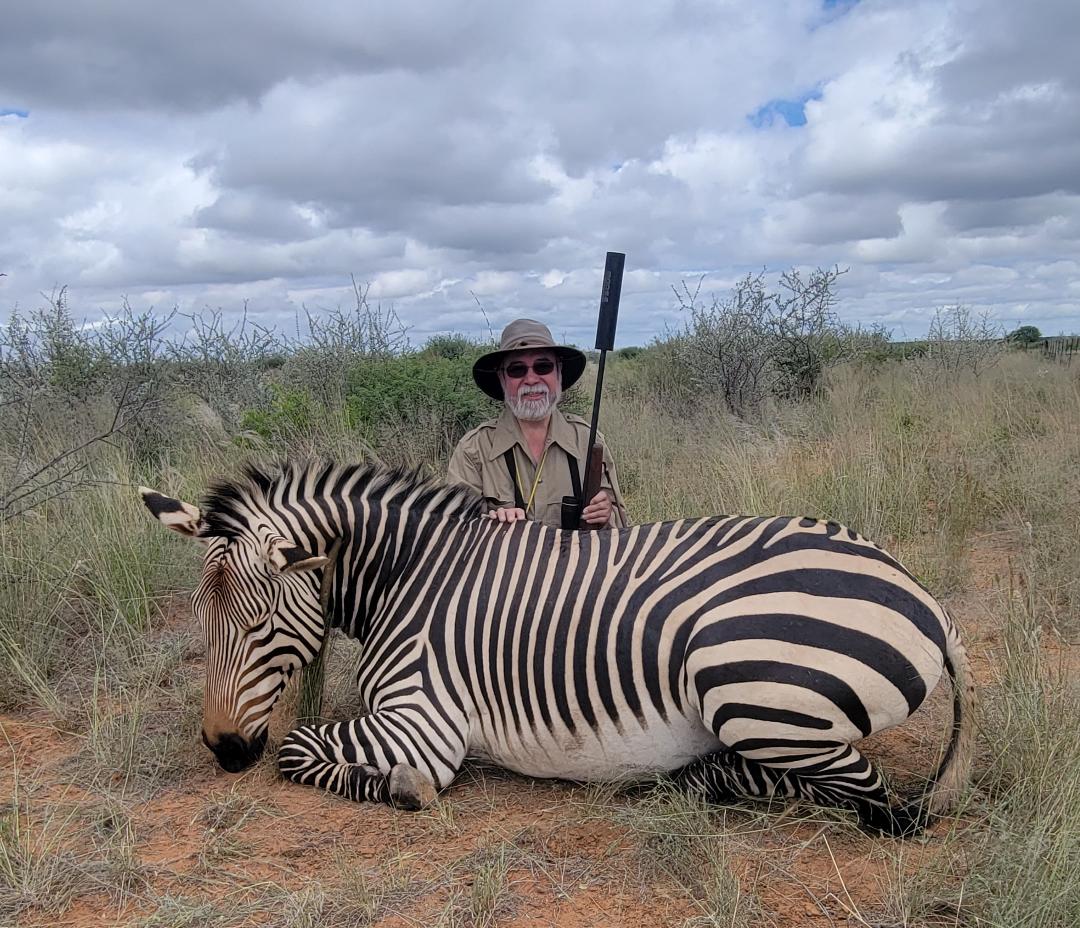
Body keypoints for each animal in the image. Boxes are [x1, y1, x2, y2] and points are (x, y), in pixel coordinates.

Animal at [143, 460, 980, 838]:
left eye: (257, 625)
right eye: (201, 622)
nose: (223, 751)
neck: (411, 577)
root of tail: (927, 598)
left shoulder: (425, 723)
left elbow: (300, 749)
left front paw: (404, 788)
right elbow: (301, 743)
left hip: (743, 684)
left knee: (876, 799)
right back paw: (698, 776)